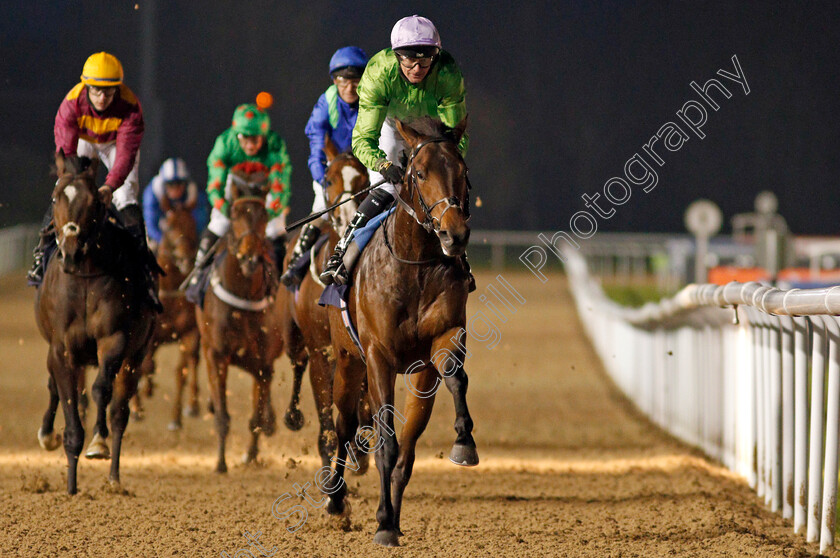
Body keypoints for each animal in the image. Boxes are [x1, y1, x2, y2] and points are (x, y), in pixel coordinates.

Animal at [35, 152, 157, 494]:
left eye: (93, 202)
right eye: (55, 197)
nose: (71, 252)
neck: (86, 276)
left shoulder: (114, 340)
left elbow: (102, 389)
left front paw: (98, 443)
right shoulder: (61, 348)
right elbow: (68, 401)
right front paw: (71, 487)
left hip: (136, 356)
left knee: (119, 411)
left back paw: (114, 477)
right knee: (54, 386)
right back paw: (47, 434)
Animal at [138, 208, 205, 430]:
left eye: (192, 224)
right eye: (169, 226)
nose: (185, 257)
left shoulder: (190, 332)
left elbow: (181, 371)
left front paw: (176, 418)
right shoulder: (149, 337)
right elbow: (146, 365)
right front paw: (143, 396)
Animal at [194, 178, 282, 472]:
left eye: (265, 215)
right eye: (234, 214)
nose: (250, 258)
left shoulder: (263, 362)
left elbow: (255, 418)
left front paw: (251, 454)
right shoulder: (217, 354)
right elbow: (223, 415)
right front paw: (220, 463)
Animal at [278, 136, 370, 472]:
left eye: (363, 180)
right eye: (328, 179)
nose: (347, 218)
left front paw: (360, 446)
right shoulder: (320, 348)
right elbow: (323, 398)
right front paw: (329, 447)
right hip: (292, 334)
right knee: (297, 363)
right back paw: (293, 415)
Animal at [324, 117, 476, 548]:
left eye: (462, 171)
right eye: (420, 173)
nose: (455, 234)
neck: (416, 265)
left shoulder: (443, 338)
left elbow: (455, 378)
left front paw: (464, 442)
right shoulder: (378, 357)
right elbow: (385, 444)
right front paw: (382, 523)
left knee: (407, 443)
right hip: (347, 362)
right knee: (343, 426)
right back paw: (336, 500)